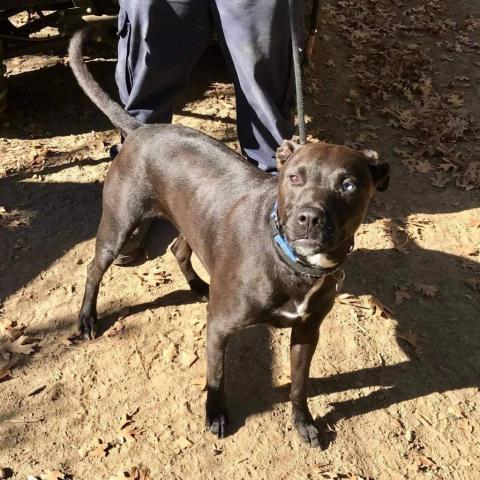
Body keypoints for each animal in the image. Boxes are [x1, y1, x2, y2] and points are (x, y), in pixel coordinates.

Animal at [68, 25, 390, 446]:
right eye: (294, 177)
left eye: (349, 185)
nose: (309, 218)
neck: (292, 263)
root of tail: (140, 129)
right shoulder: (219, 328)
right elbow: (217, 376)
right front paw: (215, 414)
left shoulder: (306, 333)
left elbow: (299, 385)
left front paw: (303, 422)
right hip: (119, 225)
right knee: (94, 268)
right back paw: (87, 319)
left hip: (191, 221)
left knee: (178, 247)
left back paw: (197, 286)